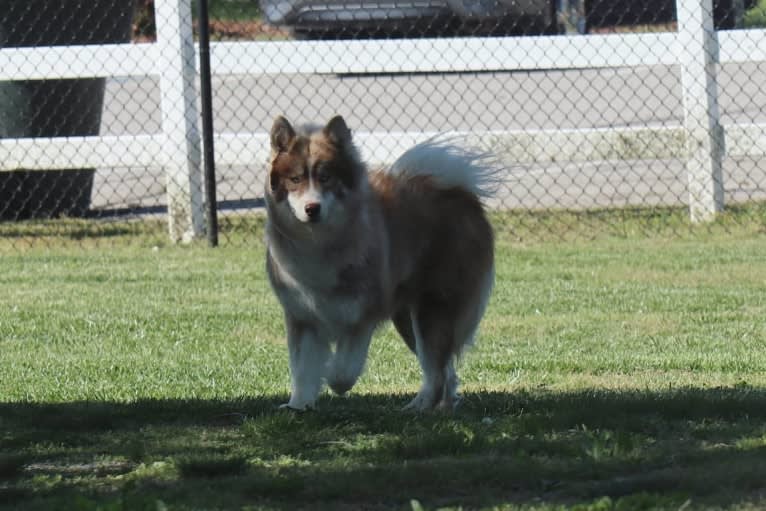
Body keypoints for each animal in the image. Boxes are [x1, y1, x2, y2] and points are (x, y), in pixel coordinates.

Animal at [266, 116, 498, 412]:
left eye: (325, 177)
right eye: (295, 179)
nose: (312, 208)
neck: (320, 243)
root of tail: (460, 192)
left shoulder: (361, 317)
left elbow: (343, 371)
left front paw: (331, 378)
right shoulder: (302, 315)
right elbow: (302, 369)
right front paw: (298, 405)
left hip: (432, 308)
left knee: (435, 368)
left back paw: (420, 406)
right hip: (407, 318)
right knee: (444, 370)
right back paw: (441, 406)